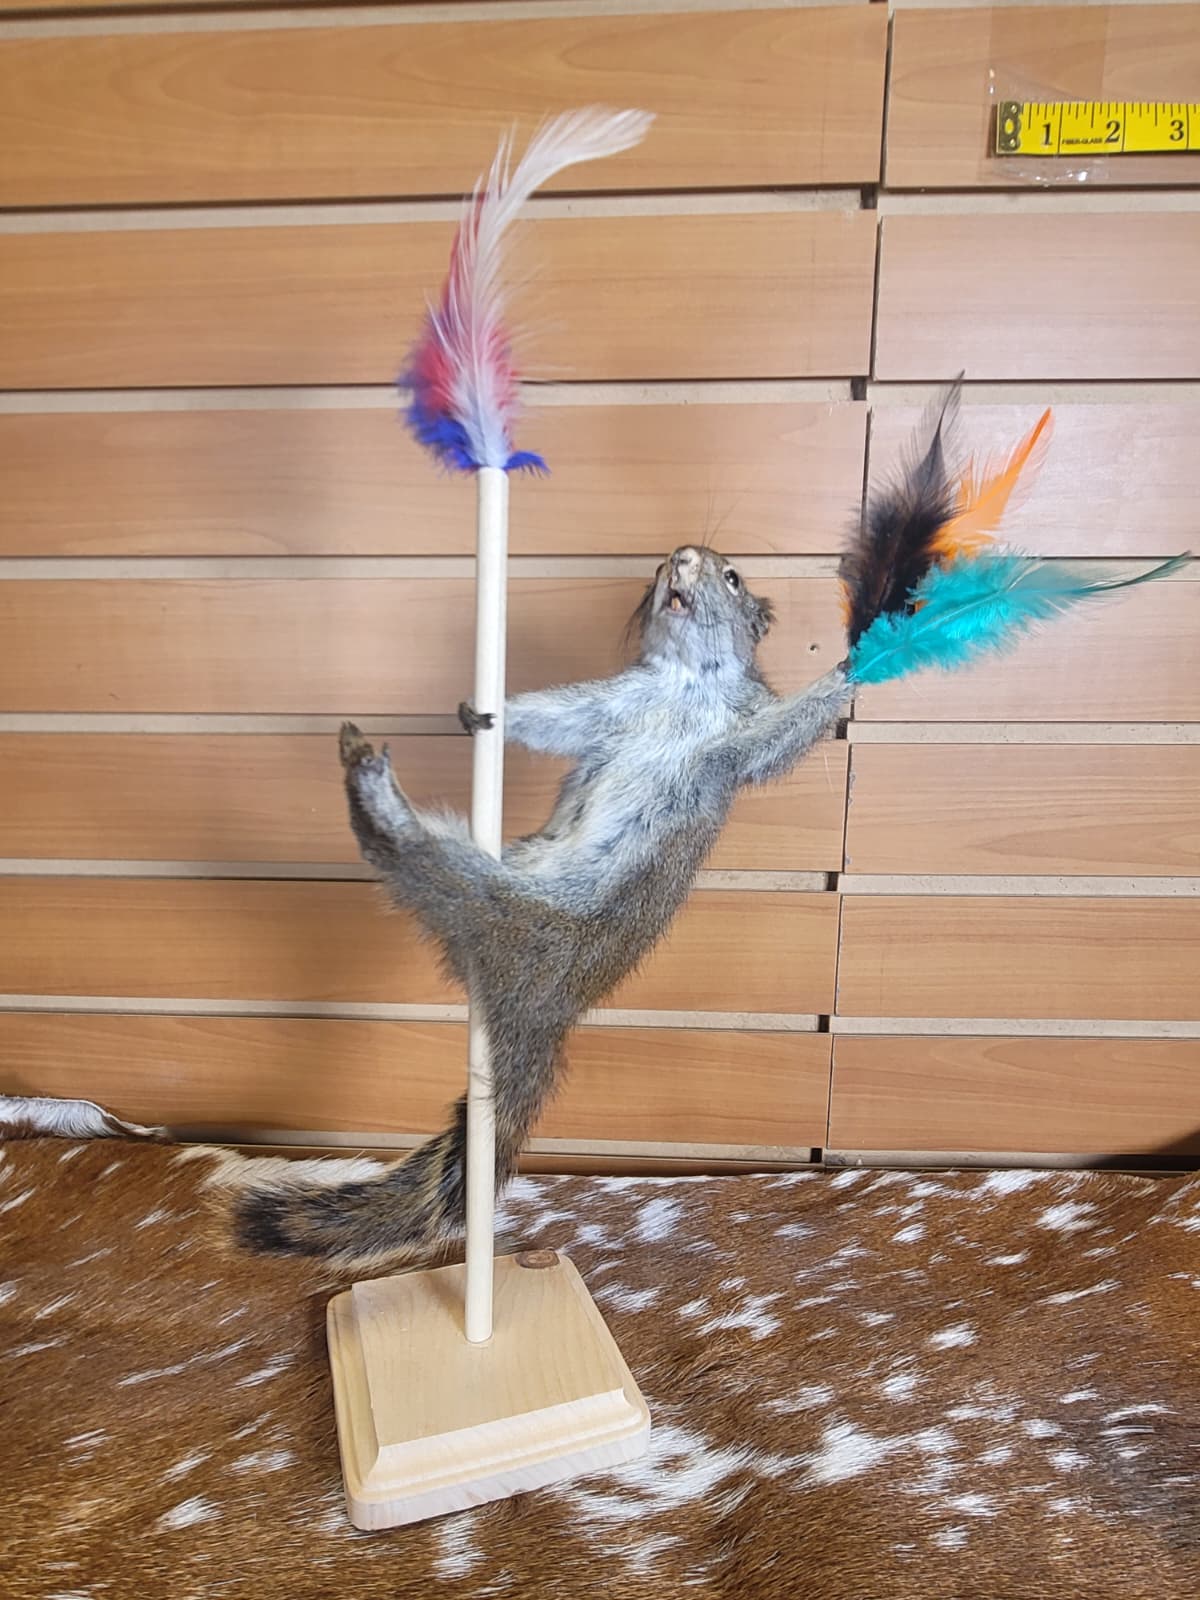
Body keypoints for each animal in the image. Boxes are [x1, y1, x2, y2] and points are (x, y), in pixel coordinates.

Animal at [237, 545, 850, 1266]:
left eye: (732, 578)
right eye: (663, 567)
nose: (679, 558)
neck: (681, 682)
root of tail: (541, 1014)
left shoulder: (739, 731)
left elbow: (779, 734)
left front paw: (847, 670)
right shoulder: (610, 702)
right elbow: (557, 718)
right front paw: (485, 710)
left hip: (504, 914)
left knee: (402, 851)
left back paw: (375, 789)